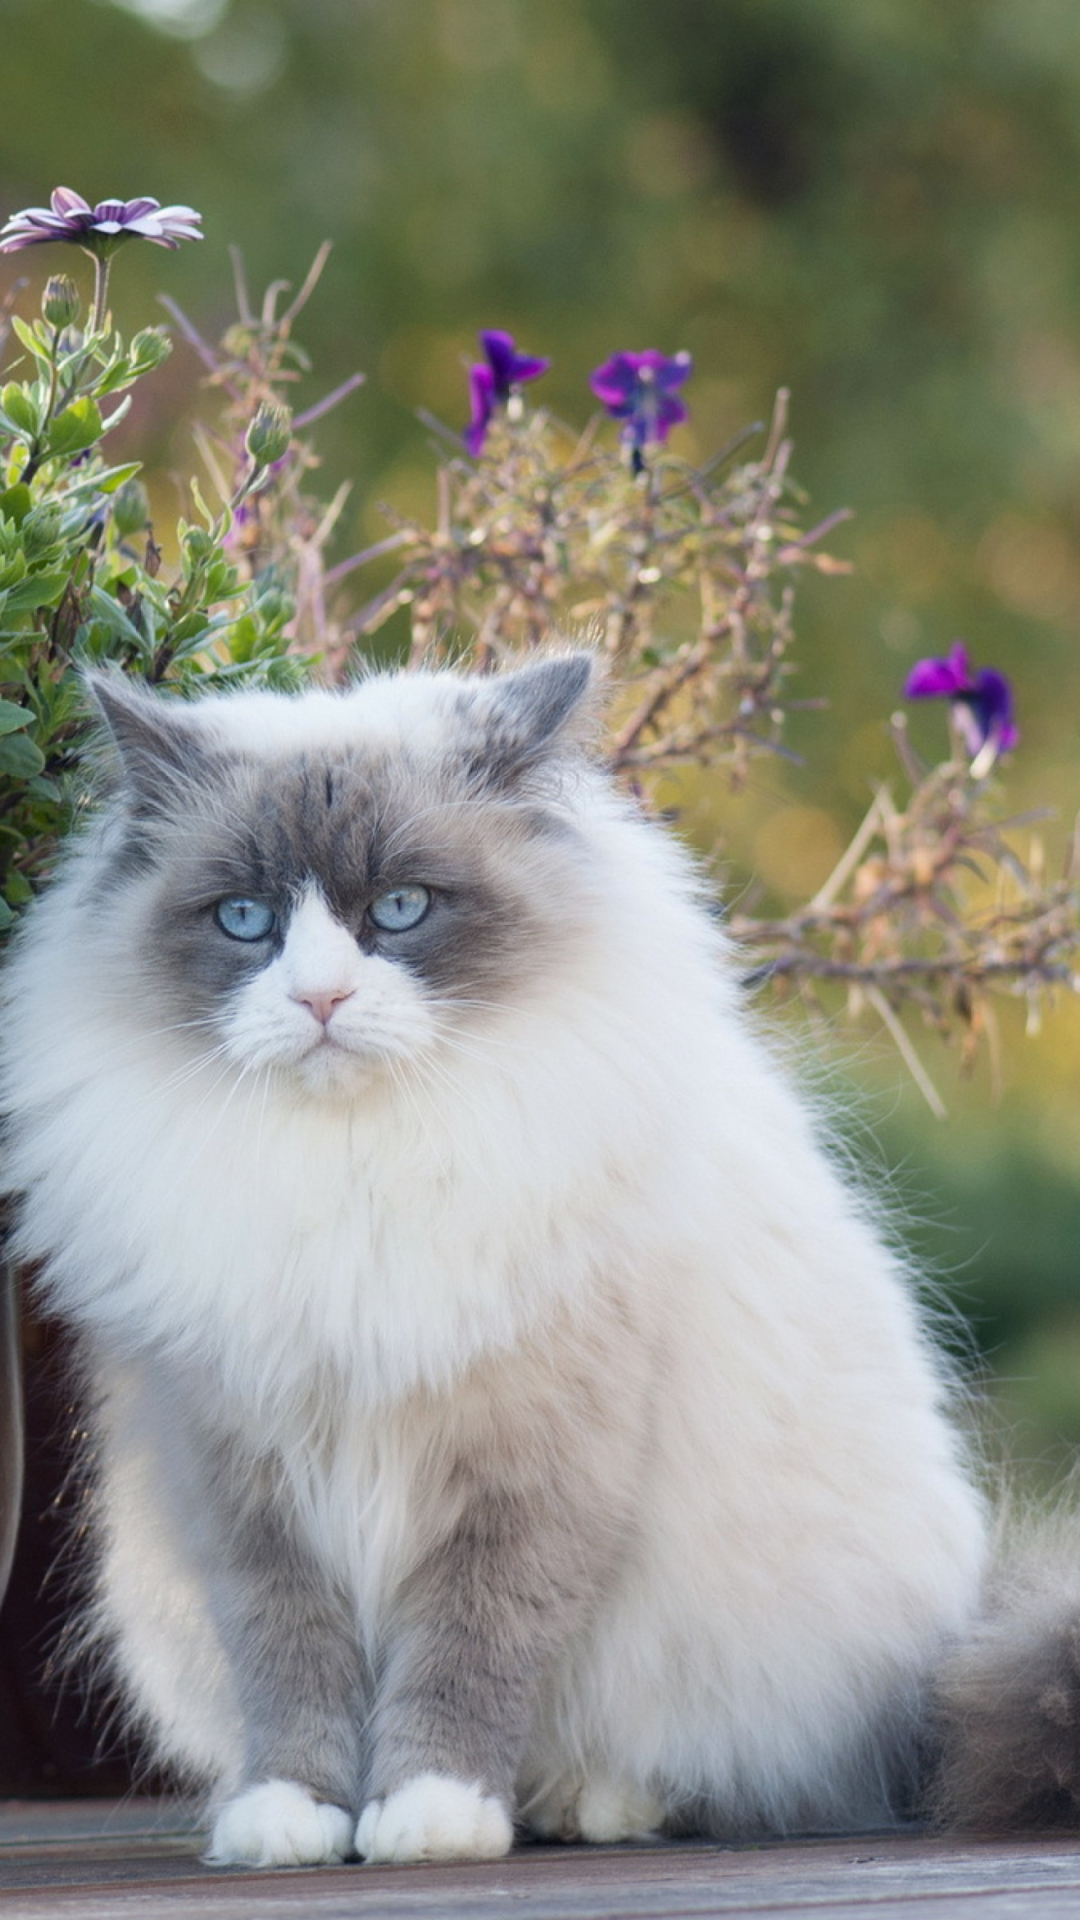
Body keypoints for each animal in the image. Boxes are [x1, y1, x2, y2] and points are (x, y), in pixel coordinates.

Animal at [0, 656, 1006, 1858]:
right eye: (245, 921)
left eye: (400, 910)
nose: (321, 999)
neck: (357, 1166)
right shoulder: (248, 1491)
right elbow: (290, 1668)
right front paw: (296, 1818)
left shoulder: (525, 1476)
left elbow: (468, 1655)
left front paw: (429, 1816)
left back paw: (583, 1805)